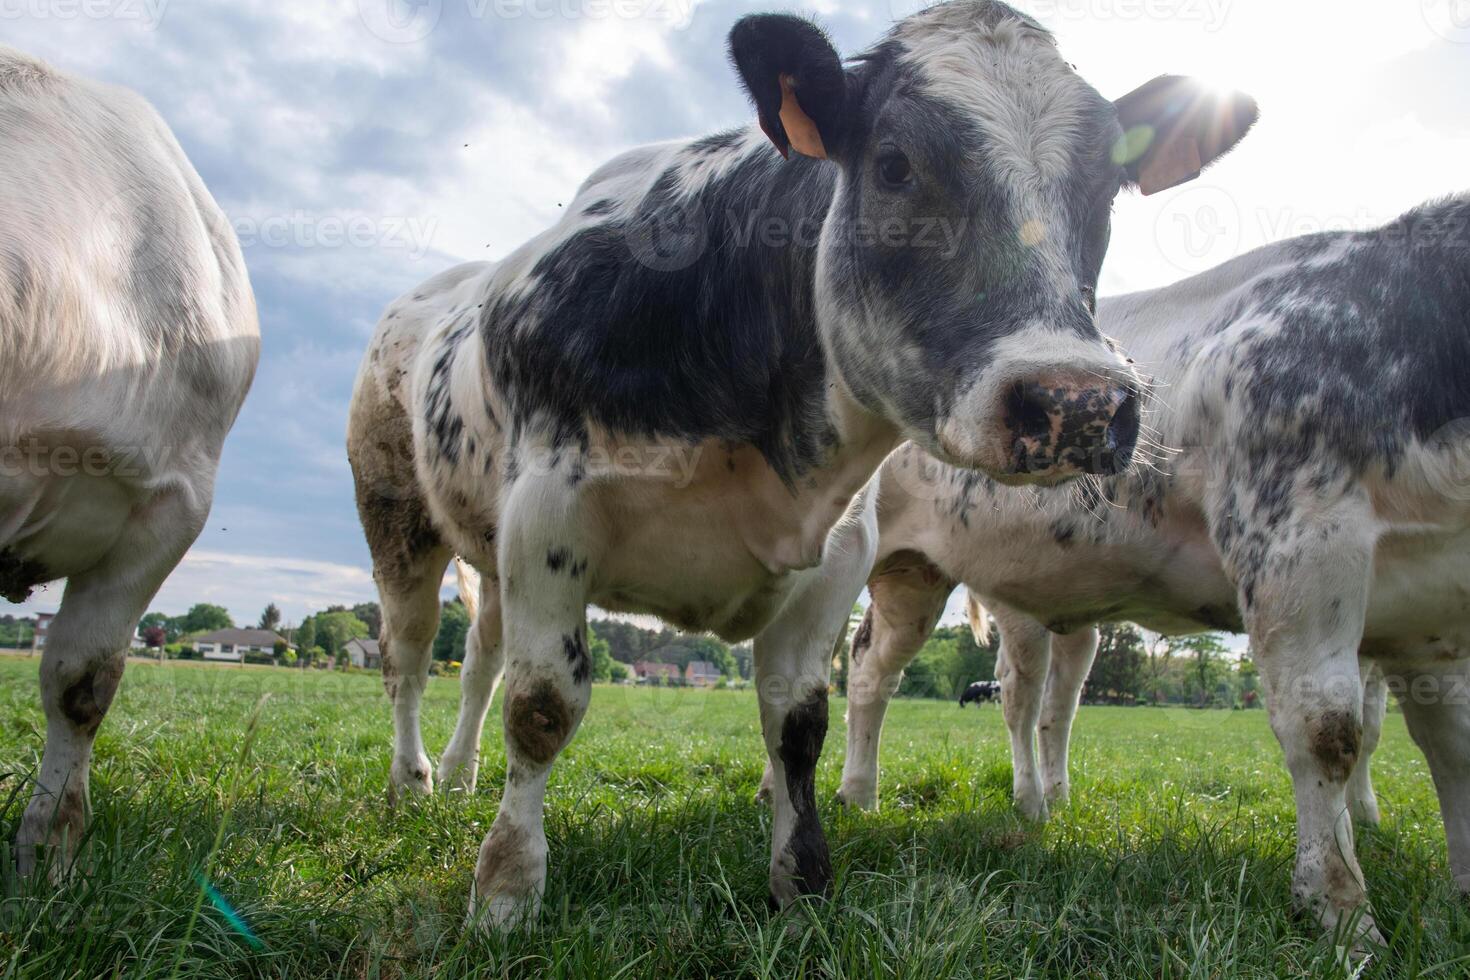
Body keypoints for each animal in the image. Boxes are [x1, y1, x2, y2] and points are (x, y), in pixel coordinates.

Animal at [346, 1, 1252, 928]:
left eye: (1107, 186)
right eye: (893, 165)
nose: (1079, 402)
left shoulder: (838, 551)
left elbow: (799, 722)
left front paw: (802, 881)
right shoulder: (548, 514)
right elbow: (543, 705)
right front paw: (505, 892)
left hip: (490, 553)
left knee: (478, 660)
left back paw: (461, 774)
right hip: (396, 516)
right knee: (409, 654)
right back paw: (414, 780)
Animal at [834, 196, 1470, 940]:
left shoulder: (1434, 611)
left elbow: (1452, 743)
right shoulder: (1299, 541)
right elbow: (1326, 731)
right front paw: (1341, 915)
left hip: (933, 580)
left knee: (944, 681)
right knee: (899, 676)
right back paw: (876, 795)